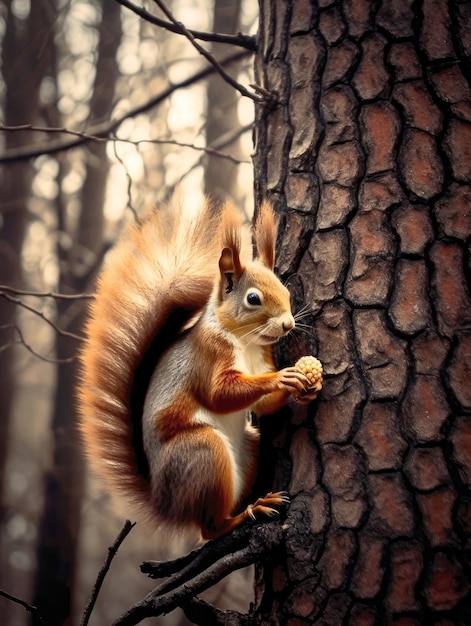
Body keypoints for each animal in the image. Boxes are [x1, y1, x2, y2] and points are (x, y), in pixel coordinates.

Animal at [78, 197, 320, 540]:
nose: (288, 324)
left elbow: (263, 405)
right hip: (203, 452)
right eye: (253, 298)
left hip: (248, 444)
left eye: (286, 292)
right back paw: (247, 512)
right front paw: (283, 377)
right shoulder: (209, 353)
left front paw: (308, 388)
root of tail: (166, 504)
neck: (244, 341)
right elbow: (220, 393)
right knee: (209, 529)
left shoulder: (262, 355)